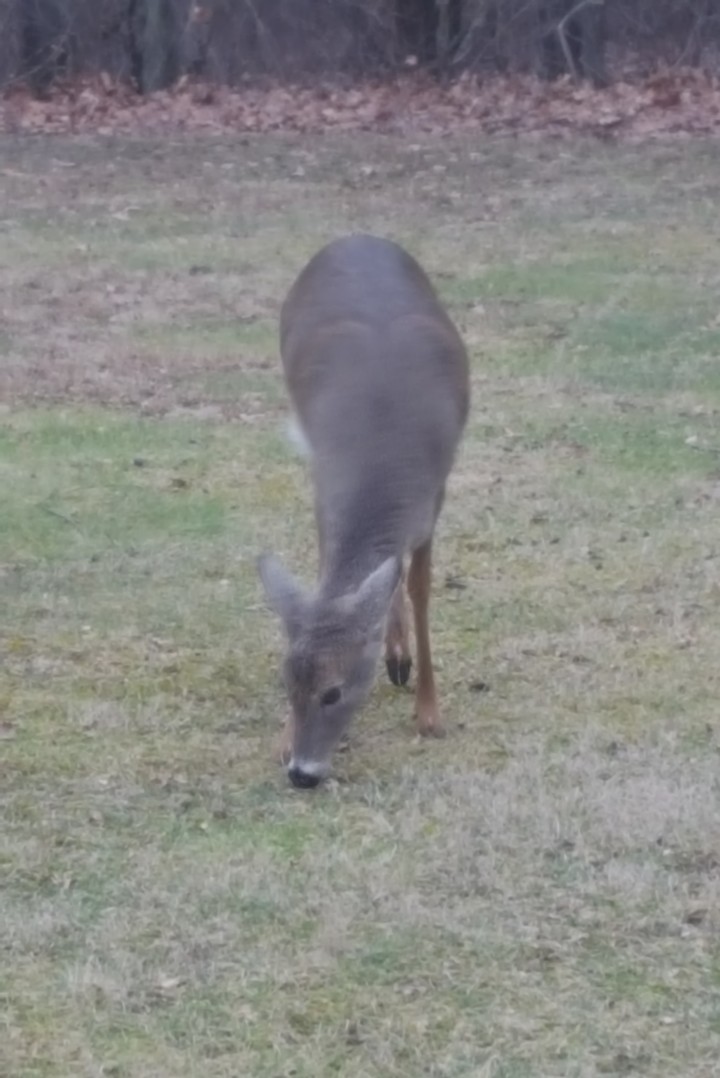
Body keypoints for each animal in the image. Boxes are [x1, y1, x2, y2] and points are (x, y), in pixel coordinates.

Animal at [258, 234, 470, 788]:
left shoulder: (432, 499)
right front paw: (281, 739)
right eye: (287, 681)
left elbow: (419, 588)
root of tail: (357, 237)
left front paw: (430, 713)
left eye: (334, 691)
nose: (302, 773)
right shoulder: (323, 486)